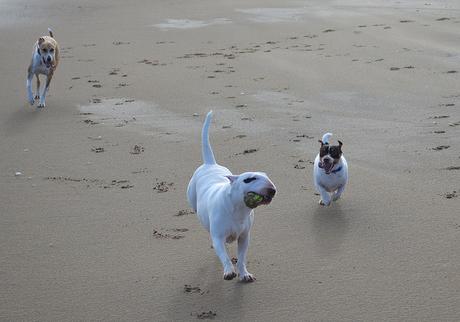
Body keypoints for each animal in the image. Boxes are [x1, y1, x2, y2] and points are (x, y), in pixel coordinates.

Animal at [188, 111, 276, 282]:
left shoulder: (244, 238)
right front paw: (229, 271)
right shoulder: (218, 237)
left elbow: (241, 258)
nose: (272, 190)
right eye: (249, 179)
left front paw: (244, 274)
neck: (238, 210)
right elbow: (224, 255)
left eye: (267, 177)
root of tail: (210, 164)